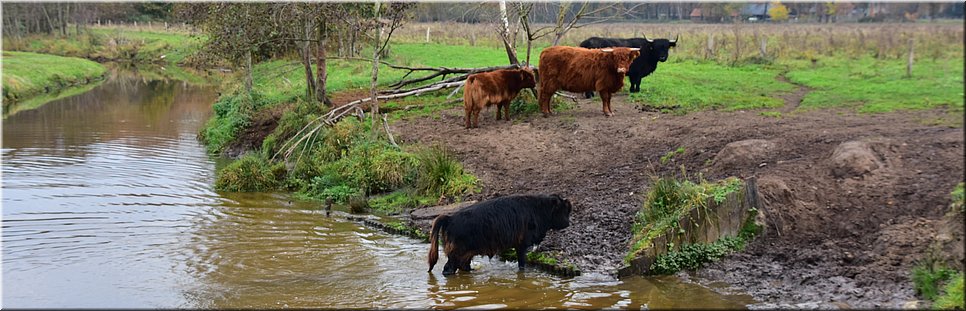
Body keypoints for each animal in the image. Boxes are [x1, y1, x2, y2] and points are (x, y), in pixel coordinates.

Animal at [428, 195, 572, 276]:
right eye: (563, 209)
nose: (568, 223)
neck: (537, 208)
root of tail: (450, 218)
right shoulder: (521, 245)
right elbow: (522, 263)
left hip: (466, 254)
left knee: (464, 266)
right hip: (456, 254)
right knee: (449, 268)